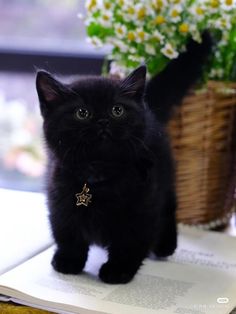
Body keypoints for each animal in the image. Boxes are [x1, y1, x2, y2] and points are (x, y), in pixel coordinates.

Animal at [36, 32, 211, 284]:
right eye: (82, 113)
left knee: (169, 206)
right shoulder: (59, 198)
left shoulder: (142, 205)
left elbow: (130, 241)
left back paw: (165, 245)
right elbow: (68, 233)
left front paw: (118, 270)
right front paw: (68, 261)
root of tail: (148, 107)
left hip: (164, 173)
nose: (103, 121)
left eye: (117, 110)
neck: (98, 174)